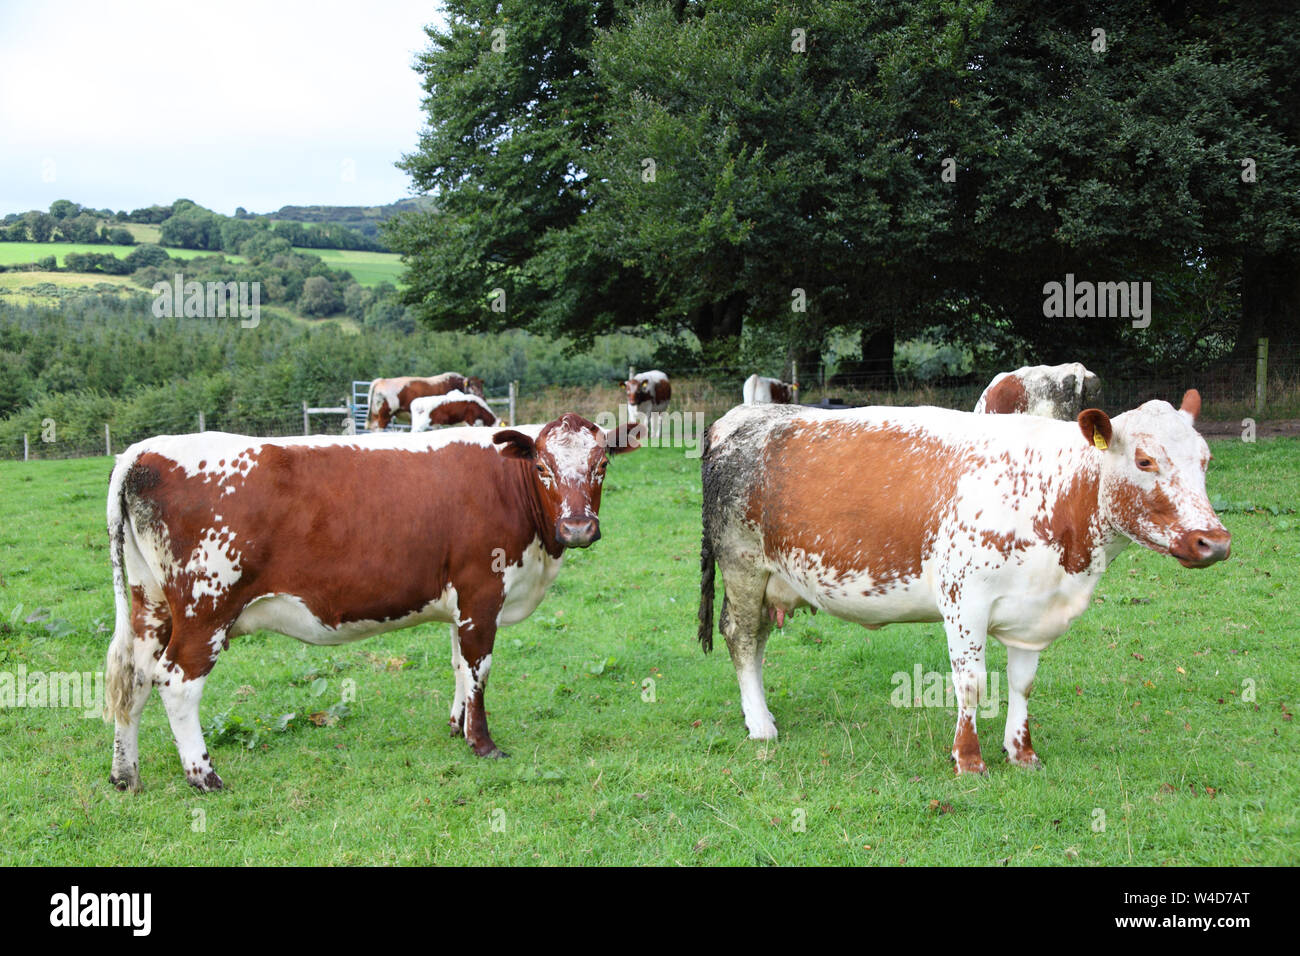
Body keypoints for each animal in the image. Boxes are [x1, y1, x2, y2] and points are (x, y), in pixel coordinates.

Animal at [103, 414, 637, 792]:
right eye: (543, 468)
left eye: (602, 465)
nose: (577, 528)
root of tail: (143, 449)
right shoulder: (482, 592)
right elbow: (479, 669)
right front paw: (482, 744)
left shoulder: (459, 601)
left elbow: (458, 665)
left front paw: (456, 725)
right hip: (206, 606)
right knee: (177, 682)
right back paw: (204, 776)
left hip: (151, 603)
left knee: (134, 679)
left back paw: (126, 775)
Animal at [698, 390, 1229, 774]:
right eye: (1144, 460)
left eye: (1205, 459)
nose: (1215, 542)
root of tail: (743, 416)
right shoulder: (964, 600)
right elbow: (970, 683)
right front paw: (969, 759)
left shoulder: (1032, 610)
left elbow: (1022, 683)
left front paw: (1021, 752)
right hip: (743, 565)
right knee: (742, 638)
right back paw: (760, 724)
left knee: (758, 640)